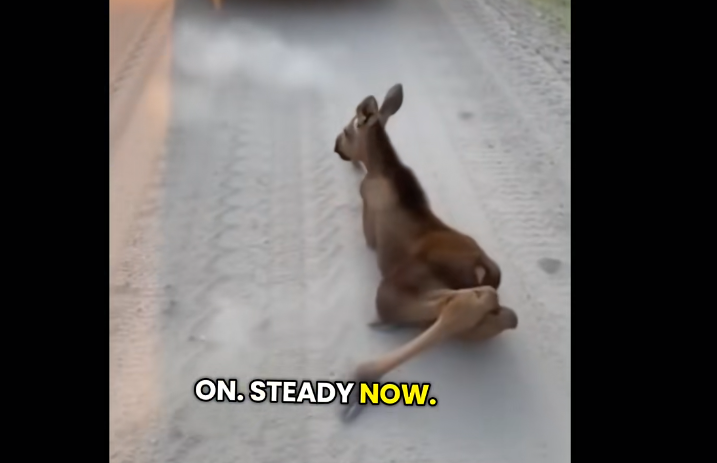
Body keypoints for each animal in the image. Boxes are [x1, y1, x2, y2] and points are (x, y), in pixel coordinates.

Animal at [334, 84, 518, 421]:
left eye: (346, 130)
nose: (335, 147)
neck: (380, 165)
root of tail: (482, 265)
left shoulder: (368, 222)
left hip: (393, 288)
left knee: (461, 305)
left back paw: (364, 375)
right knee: (505, 316)